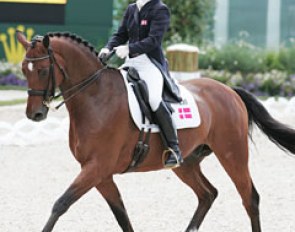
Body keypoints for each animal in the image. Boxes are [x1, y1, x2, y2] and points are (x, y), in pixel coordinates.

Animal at [17, 31, 295, 232]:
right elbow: (122, 216)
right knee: (207, 194)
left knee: (250, 198)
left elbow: (60, 204)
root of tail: (229, 90)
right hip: (186, 163)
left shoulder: (96, 168)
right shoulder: (100, 174)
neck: (96, 97)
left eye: (43, 70)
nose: (35, 114)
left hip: (232, 154)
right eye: (23, 70)